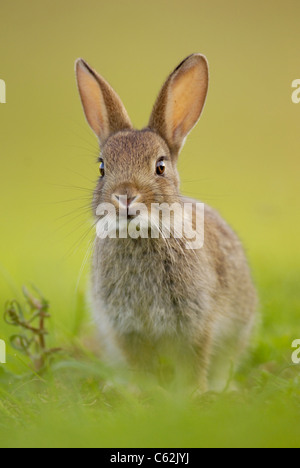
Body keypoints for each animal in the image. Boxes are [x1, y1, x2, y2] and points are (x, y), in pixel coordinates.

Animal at [75, 54, 258, 392]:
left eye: (160, 166)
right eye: (102, 168)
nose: (124, 196)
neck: (139, 236)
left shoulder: (196, 322)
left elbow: (195, 360)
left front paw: (193, 392)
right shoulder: (126, 329)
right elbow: (140, 364)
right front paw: (141, 390)